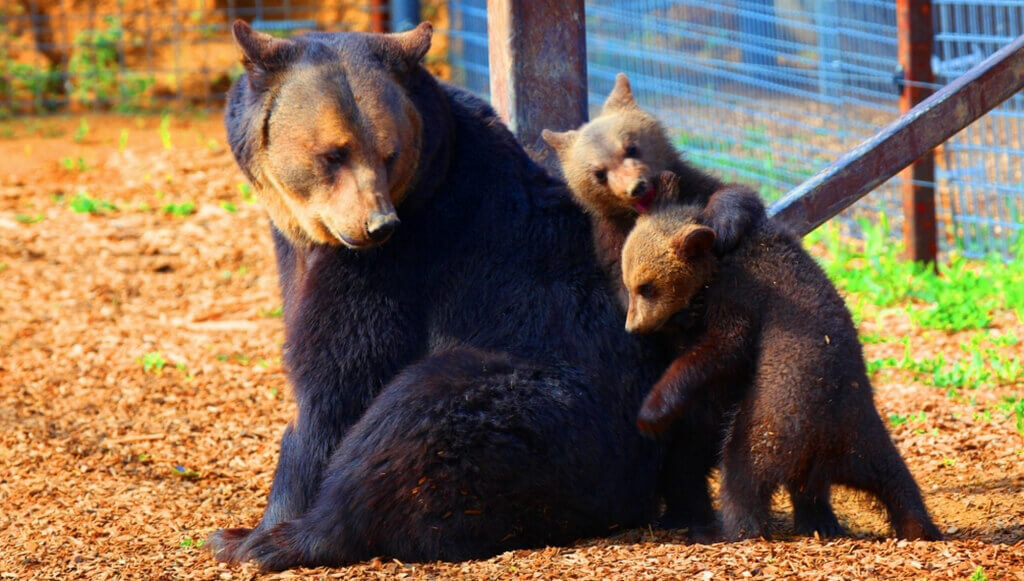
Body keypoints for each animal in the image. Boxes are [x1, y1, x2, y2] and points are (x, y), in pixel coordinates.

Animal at [204, 20, 675, 569]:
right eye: (333, 154)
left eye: (388, 153)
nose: (377, 224)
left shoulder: (402, 263)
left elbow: (340, 380)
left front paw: (259, 528)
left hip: (568, 415)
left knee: (417, 414)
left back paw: (289, 539)